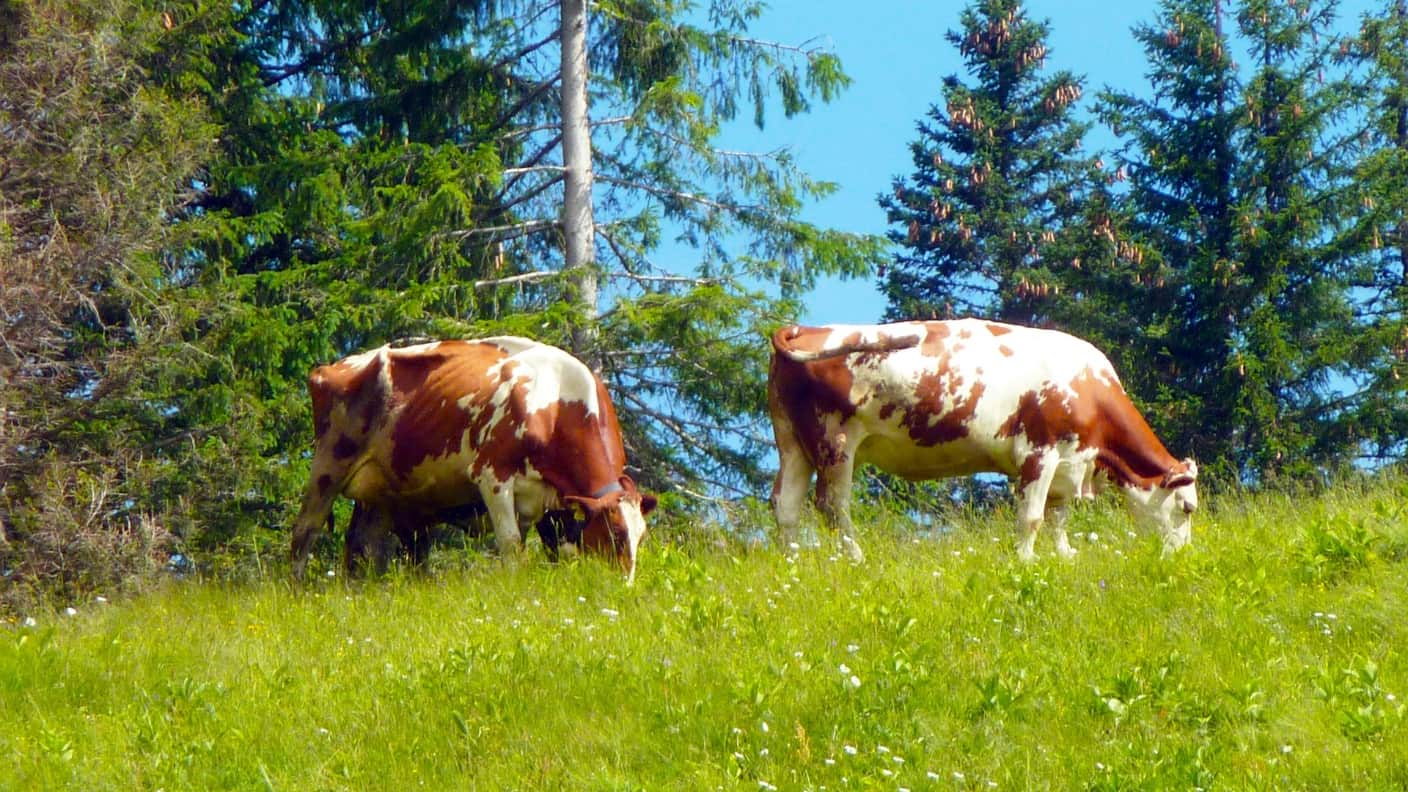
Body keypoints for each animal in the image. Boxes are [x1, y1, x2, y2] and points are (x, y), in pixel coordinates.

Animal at [294, 333, 656, 580]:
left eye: (641, 537)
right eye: (615, 534)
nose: (625, 583)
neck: (555, 404)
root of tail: (332, 366)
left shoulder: (556, 501)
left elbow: (559, 550)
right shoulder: (493, 477)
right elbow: (511, 545)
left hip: (382, 492)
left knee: (360, 544)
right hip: (328, 465)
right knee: (305, 531)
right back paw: (296, 590)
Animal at [771, 318, 1199, 560]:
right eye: (1187, 507)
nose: (1181, 555)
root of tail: (806, 329)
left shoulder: (1068, 462)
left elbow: (1059, 517)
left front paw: (1065, 555)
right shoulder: (1039, 452)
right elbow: (1032, 517)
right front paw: (1026, 561)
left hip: (793, 443)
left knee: (785, 504)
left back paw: (794, 564)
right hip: (834, 441)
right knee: (832, 505)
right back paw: (856, 557)